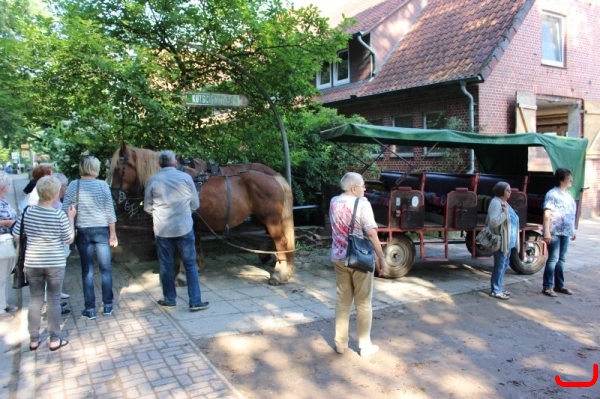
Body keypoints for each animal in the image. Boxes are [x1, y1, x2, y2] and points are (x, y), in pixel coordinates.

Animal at [109, 142, 296, 286]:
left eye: (118, 169)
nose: (114, 195)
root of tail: (273, 177)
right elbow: (195, 247)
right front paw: (196, 267)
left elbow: (185, 250)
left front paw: (183, 276)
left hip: (271, 220)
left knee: (281, 242)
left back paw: (279, 274)